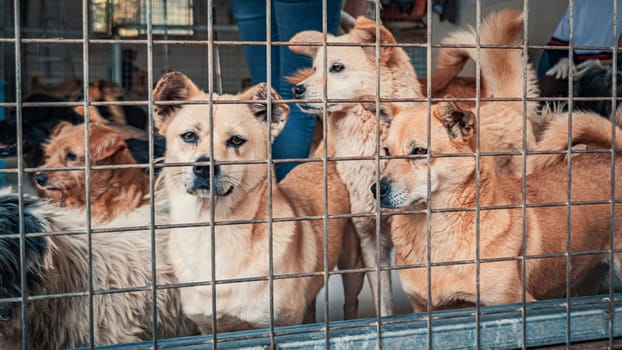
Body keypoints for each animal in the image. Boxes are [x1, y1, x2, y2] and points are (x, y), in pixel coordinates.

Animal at [154, 72, 364, 332]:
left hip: (353, 267)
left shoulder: (280, 323)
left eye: (236, 140)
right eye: (189, 136)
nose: (204, 167)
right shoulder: (206, 327)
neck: (214, 232)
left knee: (351, 303)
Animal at [376, 100, 622, 310]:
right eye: (386, 152)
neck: (435, 231)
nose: (376, 189)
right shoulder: (422, 307)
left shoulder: (511, 302)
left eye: (419, 151)